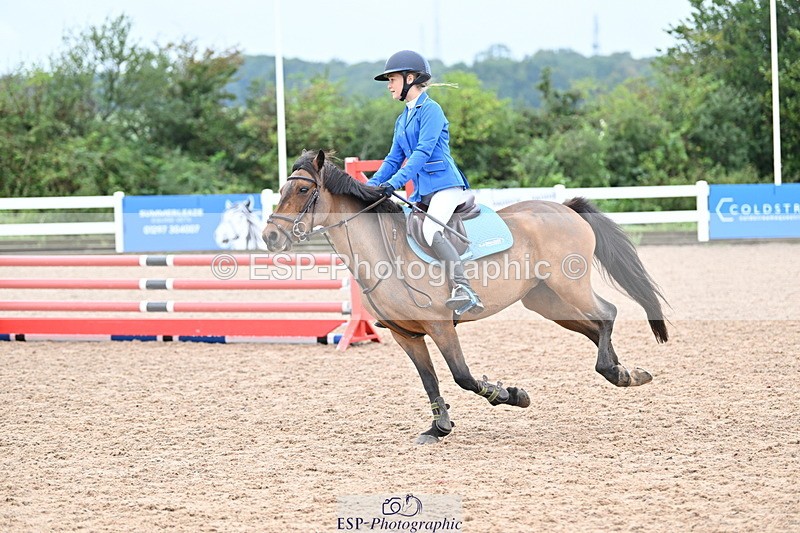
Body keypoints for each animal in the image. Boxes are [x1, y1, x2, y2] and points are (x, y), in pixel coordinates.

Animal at [263, 150, 669, 444]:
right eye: (281, 191)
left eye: (302, 191)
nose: (270, 237)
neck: (383, 251)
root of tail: (564, 208)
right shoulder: (406, 334)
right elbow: (429, 380)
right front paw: (438, 427)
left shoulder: (441, 327)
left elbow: (463, 377)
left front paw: (510, 393)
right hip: (546, 301)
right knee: (595, 326)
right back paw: (626, 372)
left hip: (570, 286)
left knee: (607, 312)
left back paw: (616, 372)